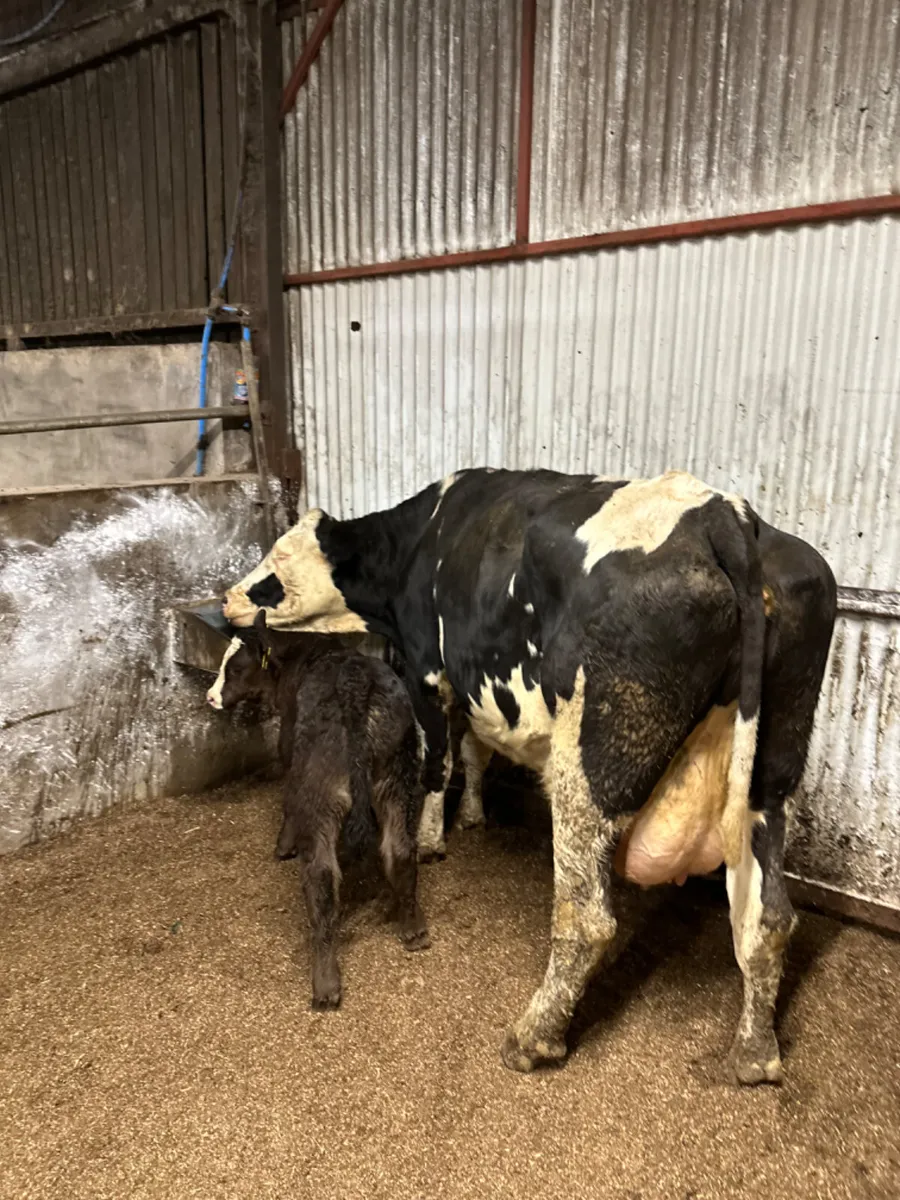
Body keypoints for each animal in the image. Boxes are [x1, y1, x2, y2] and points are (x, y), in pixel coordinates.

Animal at [207, 612, 430, 1009]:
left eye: (235, 668)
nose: (211, 696)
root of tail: (356, 687)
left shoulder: (287, 745)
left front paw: (283, 846)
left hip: (321, 794)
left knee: (322, 877)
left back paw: (325, 983)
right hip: (398, 777)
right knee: (401, 851)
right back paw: (413, 927)